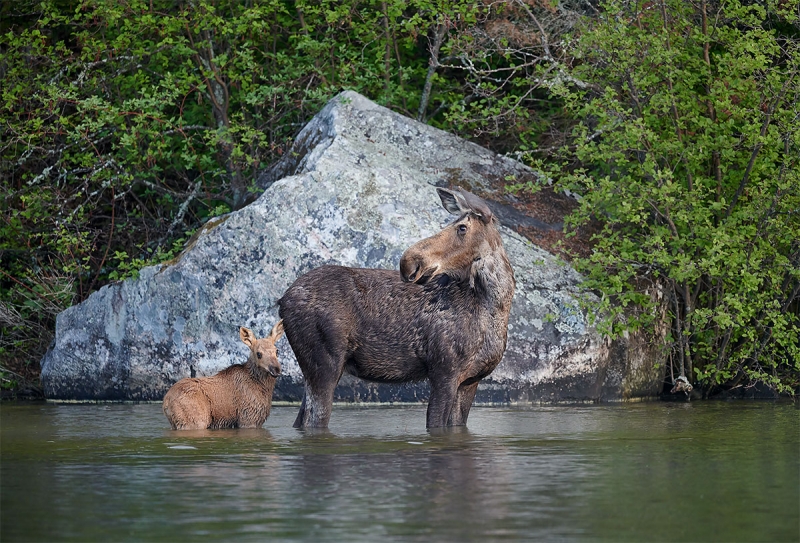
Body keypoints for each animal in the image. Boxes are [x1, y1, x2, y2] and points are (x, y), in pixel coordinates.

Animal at [278, 187, 516, 430]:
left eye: (462, 227)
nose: (408, 262)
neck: (494, 309)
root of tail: (283, 300)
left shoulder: (470, 380)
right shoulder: (444, 371)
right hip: (324, 364)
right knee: (313, 420)